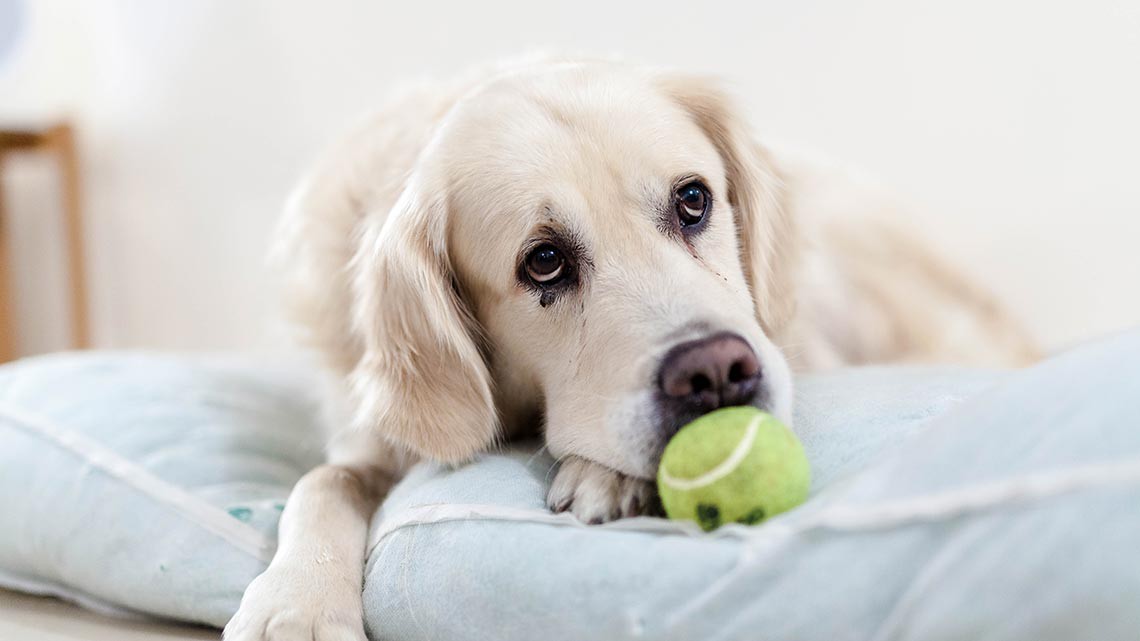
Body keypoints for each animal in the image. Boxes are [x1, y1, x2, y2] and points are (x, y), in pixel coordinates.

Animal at [224, 56, 1044, 638]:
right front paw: (295, 605)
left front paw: (605, 472)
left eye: (694, 199)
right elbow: (322, 482)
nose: (716, 372)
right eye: (543, 262)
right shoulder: (370, 437)